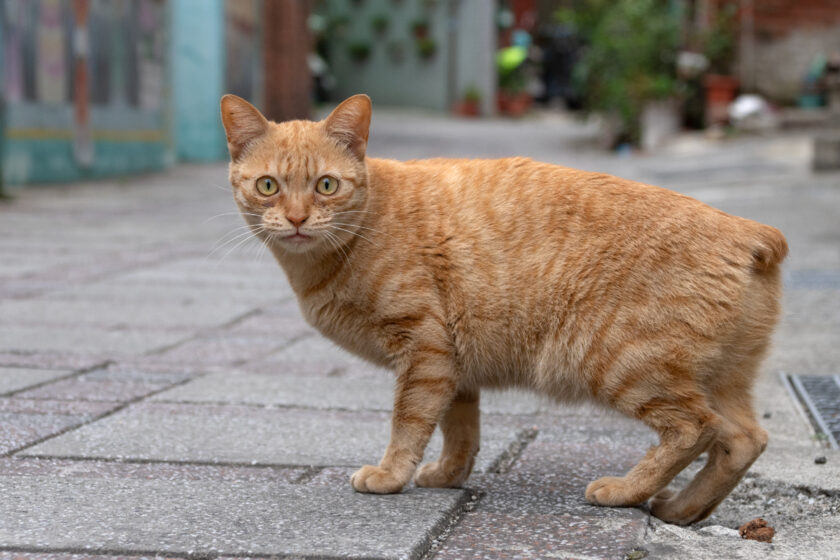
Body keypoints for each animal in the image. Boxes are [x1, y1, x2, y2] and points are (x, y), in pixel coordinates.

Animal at [220, 93, 784, 524]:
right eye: (268, 185)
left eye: (326, 185)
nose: (296, 219)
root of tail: (749, 229)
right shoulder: (452, 364)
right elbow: (459, 430)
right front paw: (447, 476)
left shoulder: (423, 348)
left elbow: (408, 422)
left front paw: (391, 475)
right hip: (721, 379)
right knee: (743, 439)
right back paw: (680, 511)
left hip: (620, 363)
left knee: (695, 428)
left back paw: (625, 491)